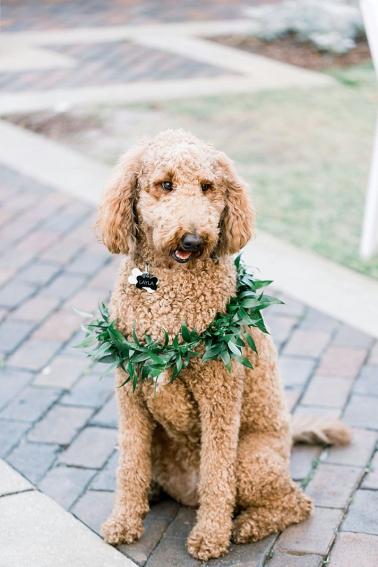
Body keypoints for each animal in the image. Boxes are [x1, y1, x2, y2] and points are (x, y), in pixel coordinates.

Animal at [98, 131, 352, 560]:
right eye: (165, 184)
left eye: (208, 187)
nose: (193, 239)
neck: (165, 288)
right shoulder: (131, 393)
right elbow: (129, 465)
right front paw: (124, 522)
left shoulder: (219, 395)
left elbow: (217, 473)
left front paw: (211, 538)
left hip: (251, 460)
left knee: (295, 502)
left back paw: (246, 526)